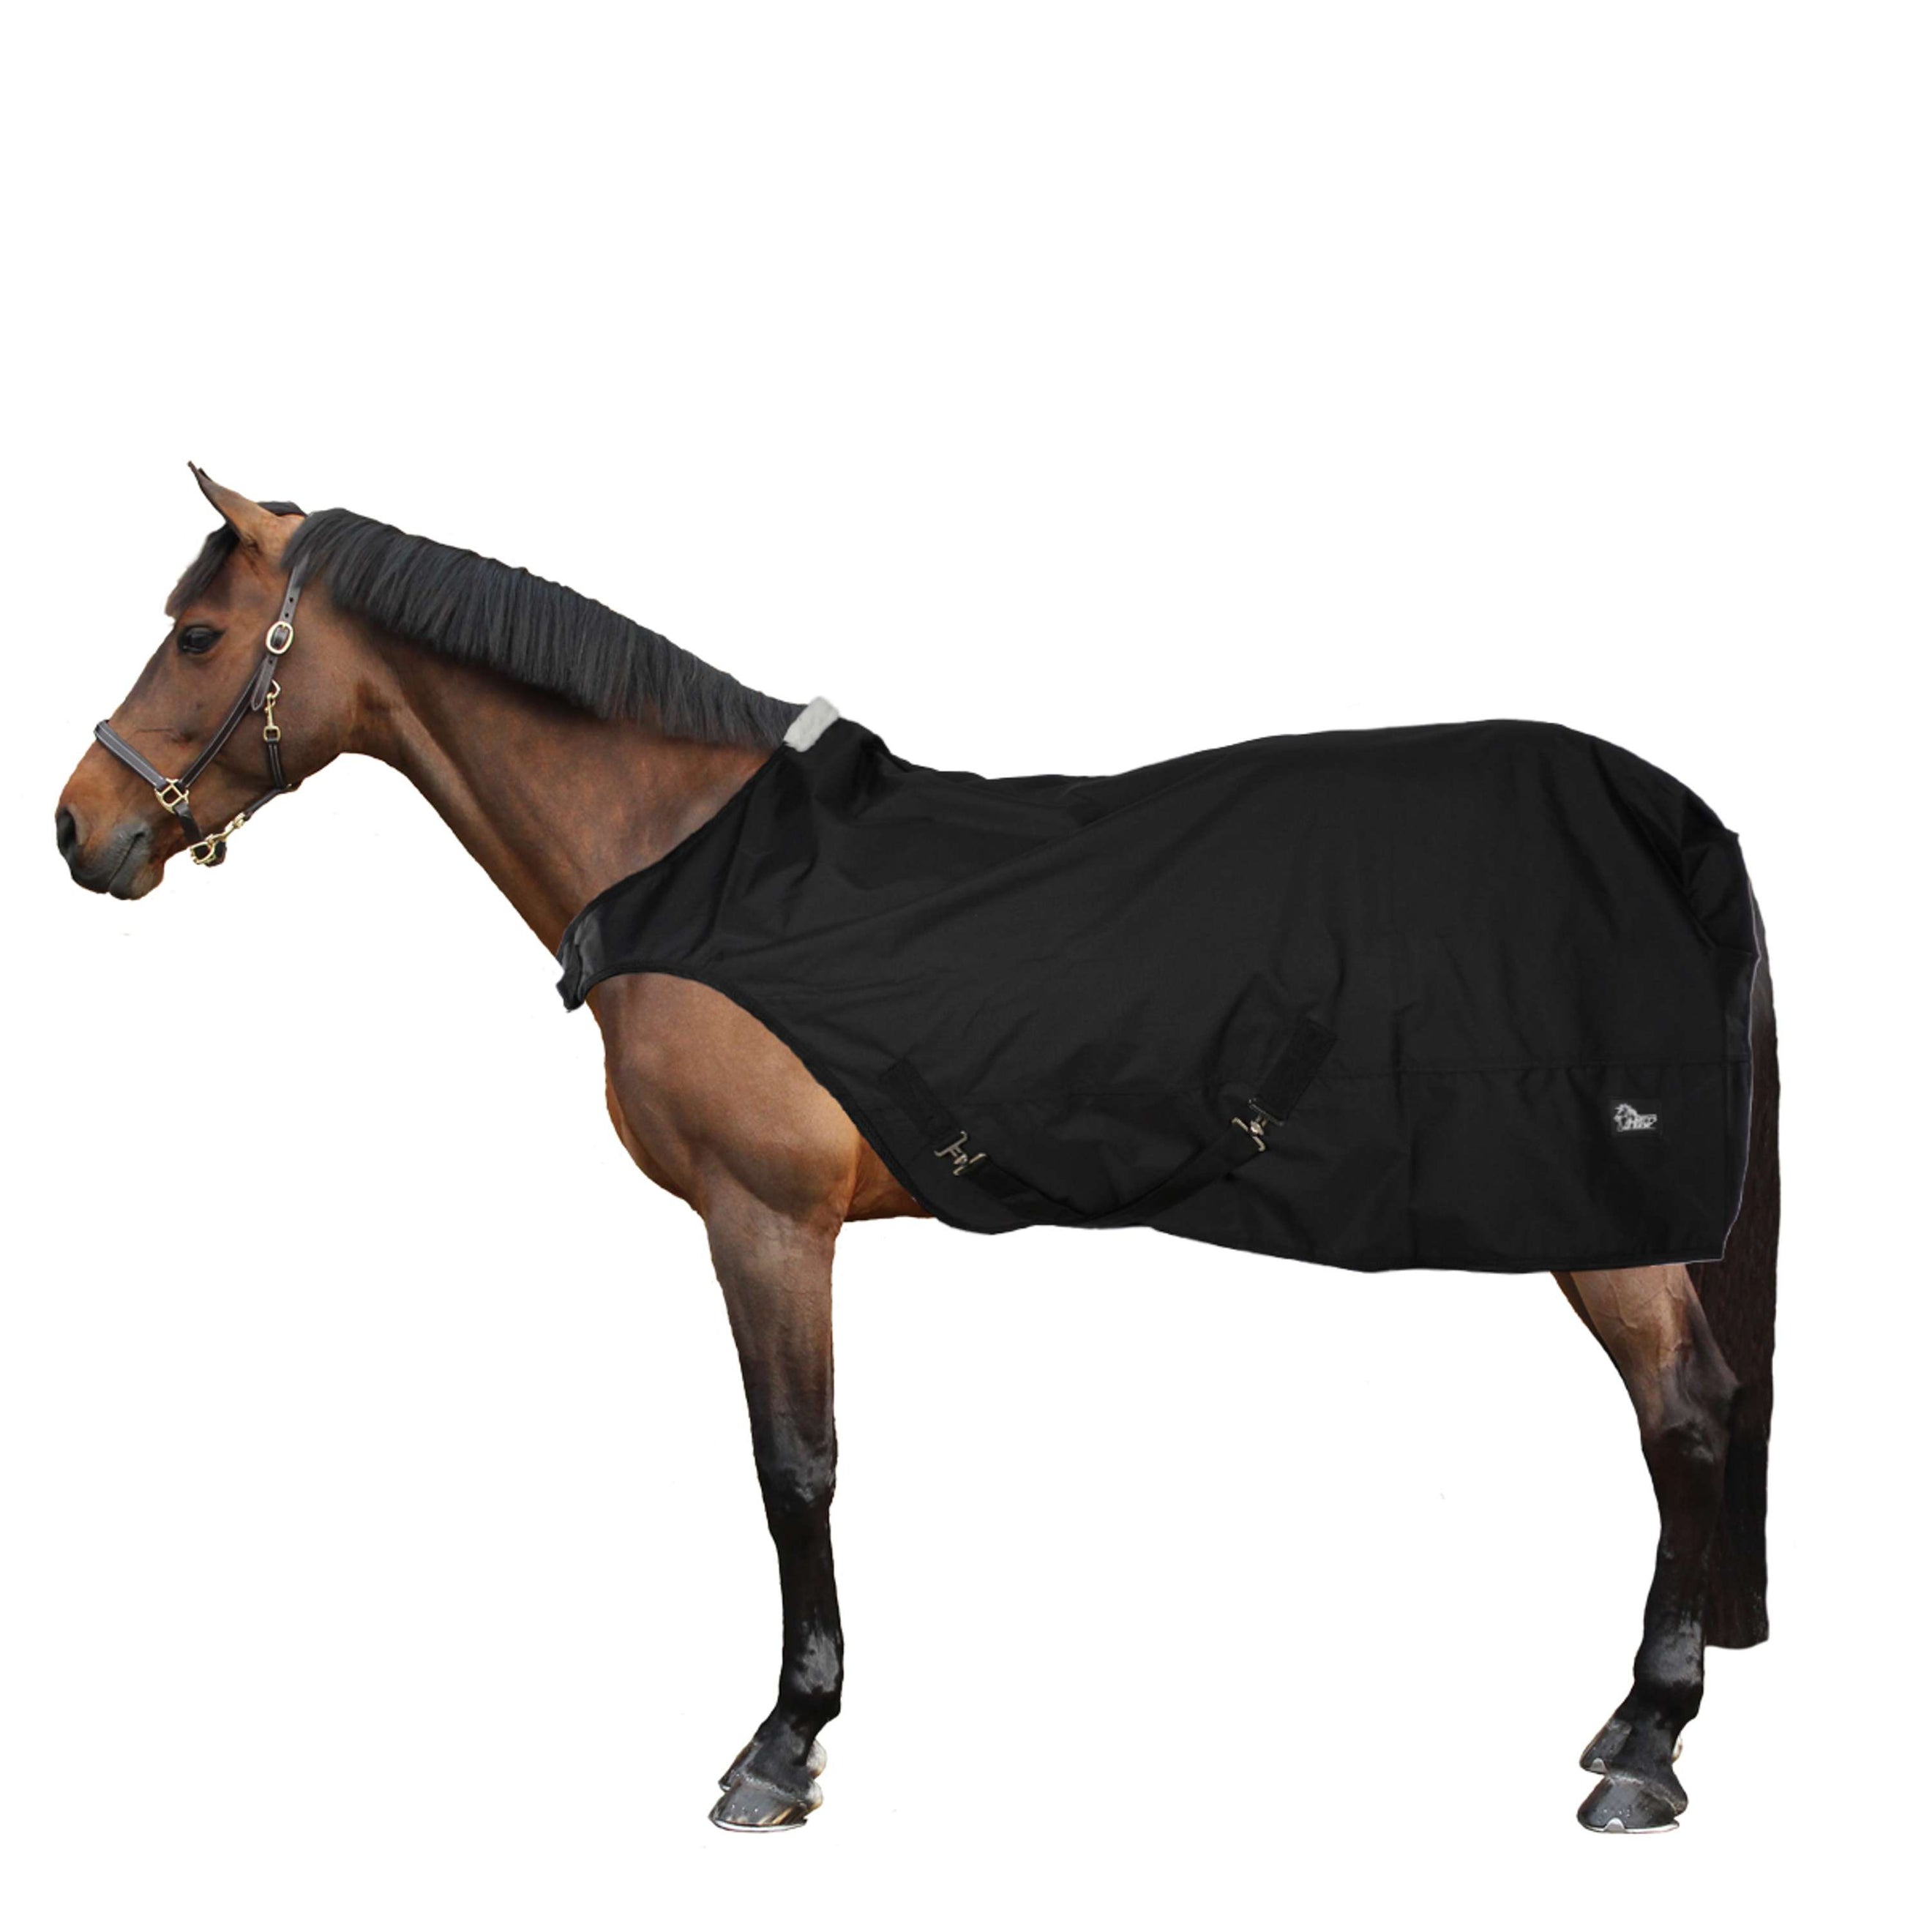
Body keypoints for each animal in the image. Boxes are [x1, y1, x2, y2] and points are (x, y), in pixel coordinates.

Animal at [55, 469, 1779, 1835]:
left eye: (199, 636)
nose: (80, 831)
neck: (697, 861)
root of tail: (1676, 818)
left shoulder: (766, 1220)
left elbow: (794, 1466)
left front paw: (783, 1744)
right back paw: (1635, 1724)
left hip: (1608, 1218)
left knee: (1686, 1413)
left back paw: (1648, 1749)